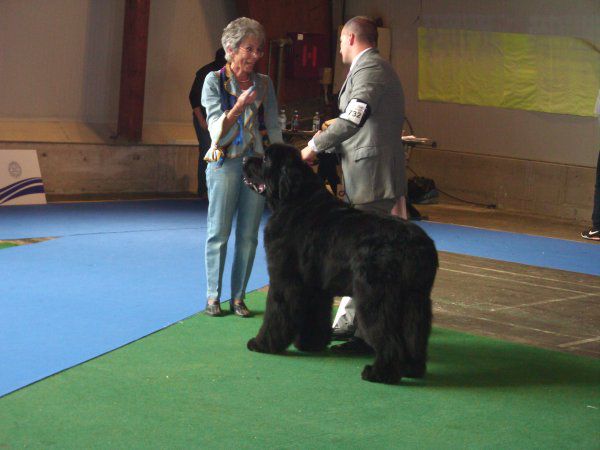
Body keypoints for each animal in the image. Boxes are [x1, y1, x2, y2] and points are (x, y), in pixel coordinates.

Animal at [241, 144, 438, 384]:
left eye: (266, 159)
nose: (244, 160)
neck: (294, 201)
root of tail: (418, 245)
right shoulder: (315, 286)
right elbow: (314, 315)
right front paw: (310, 343)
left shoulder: (284, 279)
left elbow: (276, 312)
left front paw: (262, 343)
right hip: (415, 299)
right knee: (415, 332)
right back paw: (412, 368)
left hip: (375, 296)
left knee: (389, 336)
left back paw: (380, 372)